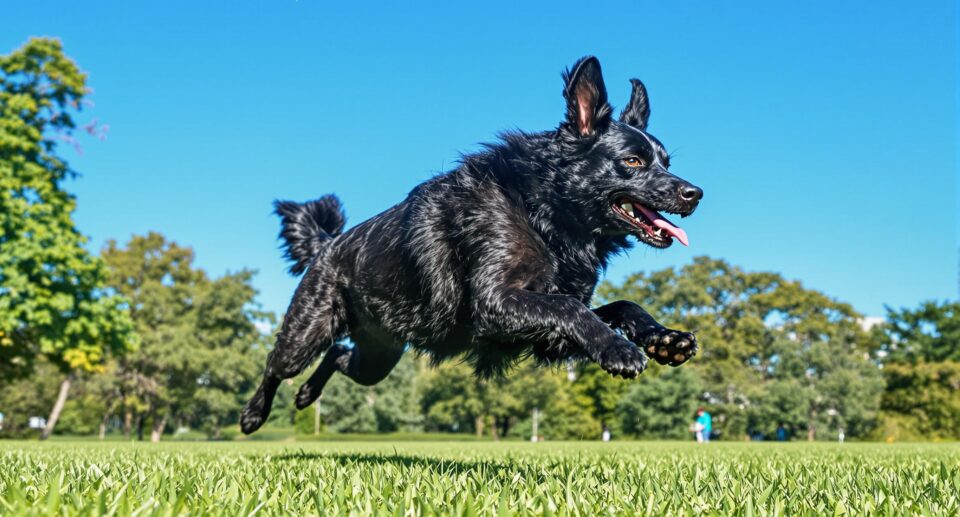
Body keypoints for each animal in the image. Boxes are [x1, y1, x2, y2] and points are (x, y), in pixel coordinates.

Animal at [242, 56, 696, 434]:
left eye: (666, 163)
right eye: (633, 162)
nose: (696, 193)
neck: (540, 212)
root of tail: (329, 243)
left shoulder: (547, 337)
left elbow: (618, 307)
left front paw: (664, 338)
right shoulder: (495, 303)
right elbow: (572, 309)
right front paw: (619, 349)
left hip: (377, 357)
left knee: (337, 353)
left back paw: (307, 394)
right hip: (306, 334)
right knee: (274, 364)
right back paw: (253, 414)